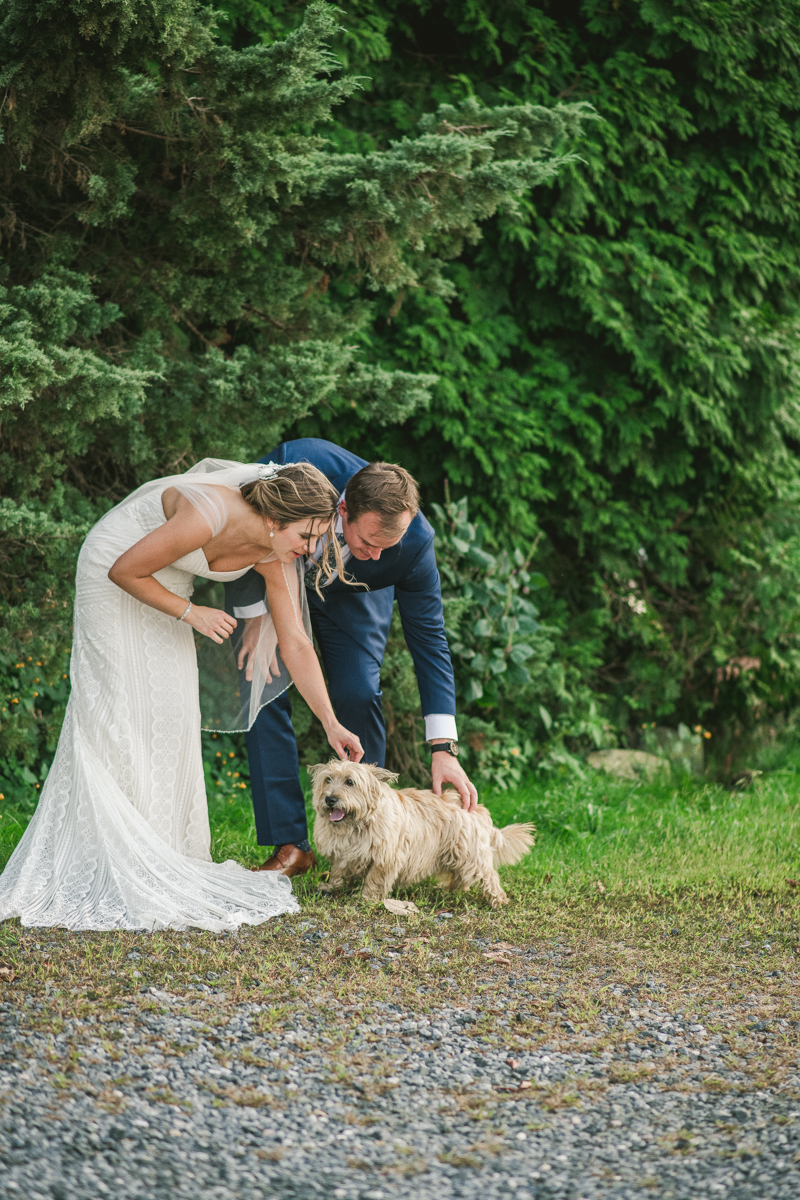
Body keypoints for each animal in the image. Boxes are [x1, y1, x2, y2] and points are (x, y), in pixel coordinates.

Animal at [309, 758, 534, 907]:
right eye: (328, 779)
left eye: (350, 781)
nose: (330, 799)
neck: (354, 824)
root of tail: (472, 806)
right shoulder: (342, 855)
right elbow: (338, 872)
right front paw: (332, 887)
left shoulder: (385, 858)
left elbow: (375, 879)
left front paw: (367, 898)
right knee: (460, 875)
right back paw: (453, 889)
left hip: (472, 855)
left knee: (489, 876)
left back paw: (498, 900)